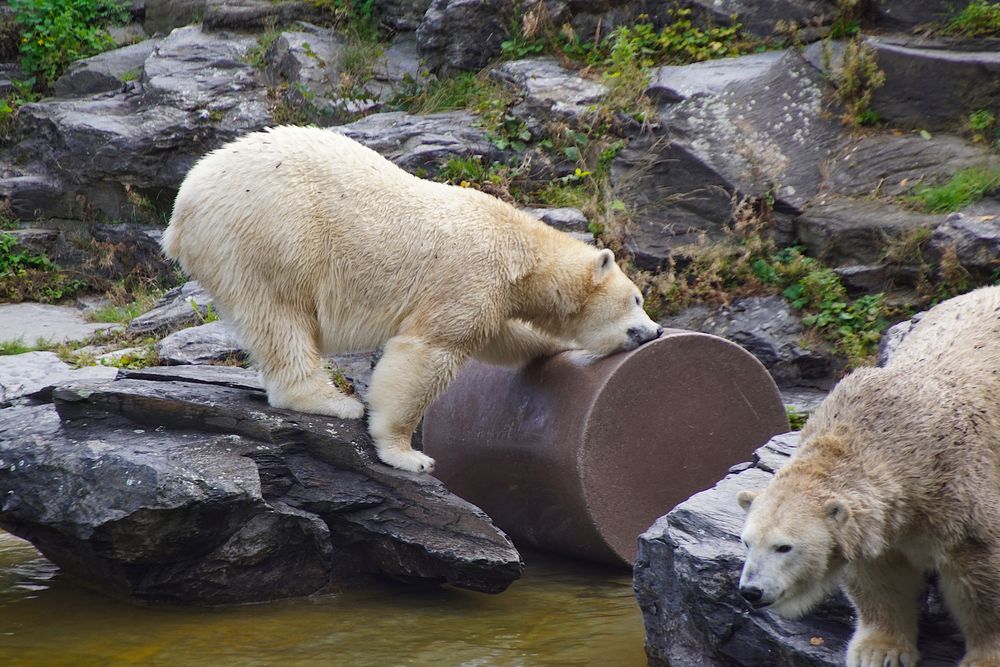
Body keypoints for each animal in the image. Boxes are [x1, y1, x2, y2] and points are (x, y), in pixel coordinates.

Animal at [162, 126, 664, 474]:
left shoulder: (491, 295)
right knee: (280, 314)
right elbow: (428, 352)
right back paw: (331, 400)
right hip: (270, 230)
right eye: (637, 299)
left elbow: (502, 337)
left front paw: (556, 345)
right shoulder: (469, 275)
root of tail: (182, 208)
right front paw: (408, 455)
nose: (656, 331)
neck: (519, 245)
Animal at [736, 286, 1000, 667]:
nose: (751, 591)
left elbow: (981, 579)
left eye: (784, 546)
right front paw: (879, 651)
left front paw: (985, 656)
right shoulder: (881, 524)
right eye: (746, 542)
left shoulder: (959, 492)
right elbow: (880, 580)